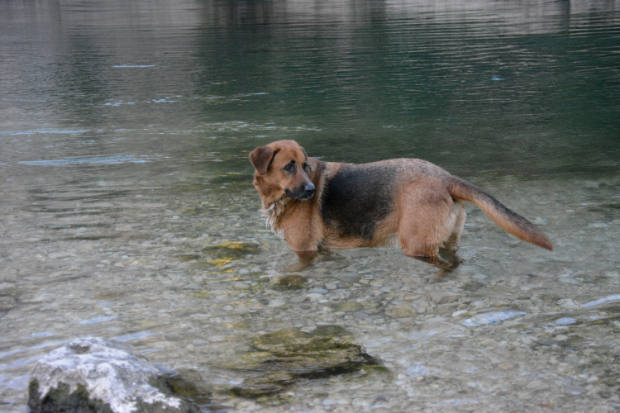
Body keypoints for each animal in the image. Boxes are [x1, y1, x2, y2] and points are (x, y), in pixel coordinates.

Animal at [249, 138, 556, 268]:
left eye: (305, 165)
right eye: (289, 166)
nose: (312, 190)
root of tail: (445, 177)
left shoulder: (305, 250)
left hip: (416, 244)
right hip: (449, 240)